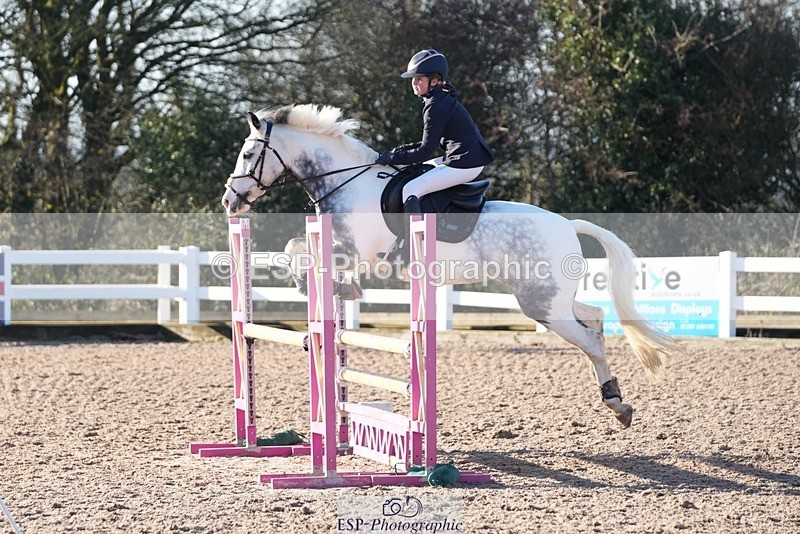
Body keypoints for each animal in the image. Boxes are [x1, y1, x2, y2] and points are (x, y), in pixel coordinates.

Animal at [221, 103, 675, 428]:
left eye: (248, 153)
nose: (229, 201)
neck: (345, 180)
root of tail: (568, 223)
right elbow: (298, 249)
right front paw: (339, 289)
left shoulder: (354, 249)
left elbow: (297, 247)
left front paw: (320, 286)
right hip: (550, 299)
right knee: (594, 317)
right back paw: (614, 396)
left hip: (542, 305)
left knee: (591, 342)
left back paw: (617, 404)